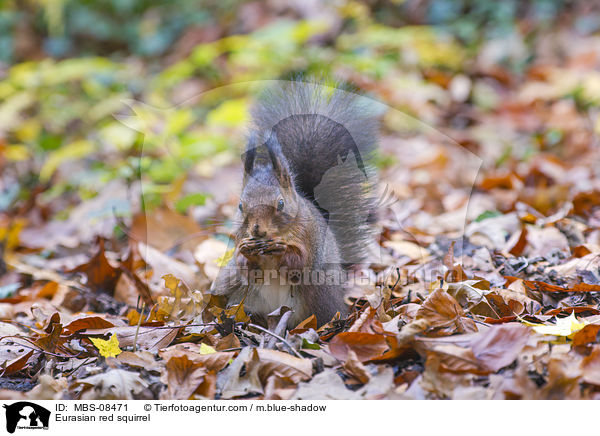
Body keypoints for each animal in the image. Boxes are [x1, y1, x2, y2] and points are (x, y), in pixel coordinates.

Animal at [211, 79, 378, 328]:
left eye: (280, 204)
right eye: (240, 206)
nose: (257, 230)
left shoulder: (310, 238)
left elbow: (300, 264)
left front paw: (282, 250)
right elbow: (246, 267)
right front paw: (246, 251)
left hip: (319, 291)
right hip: (231, 287)